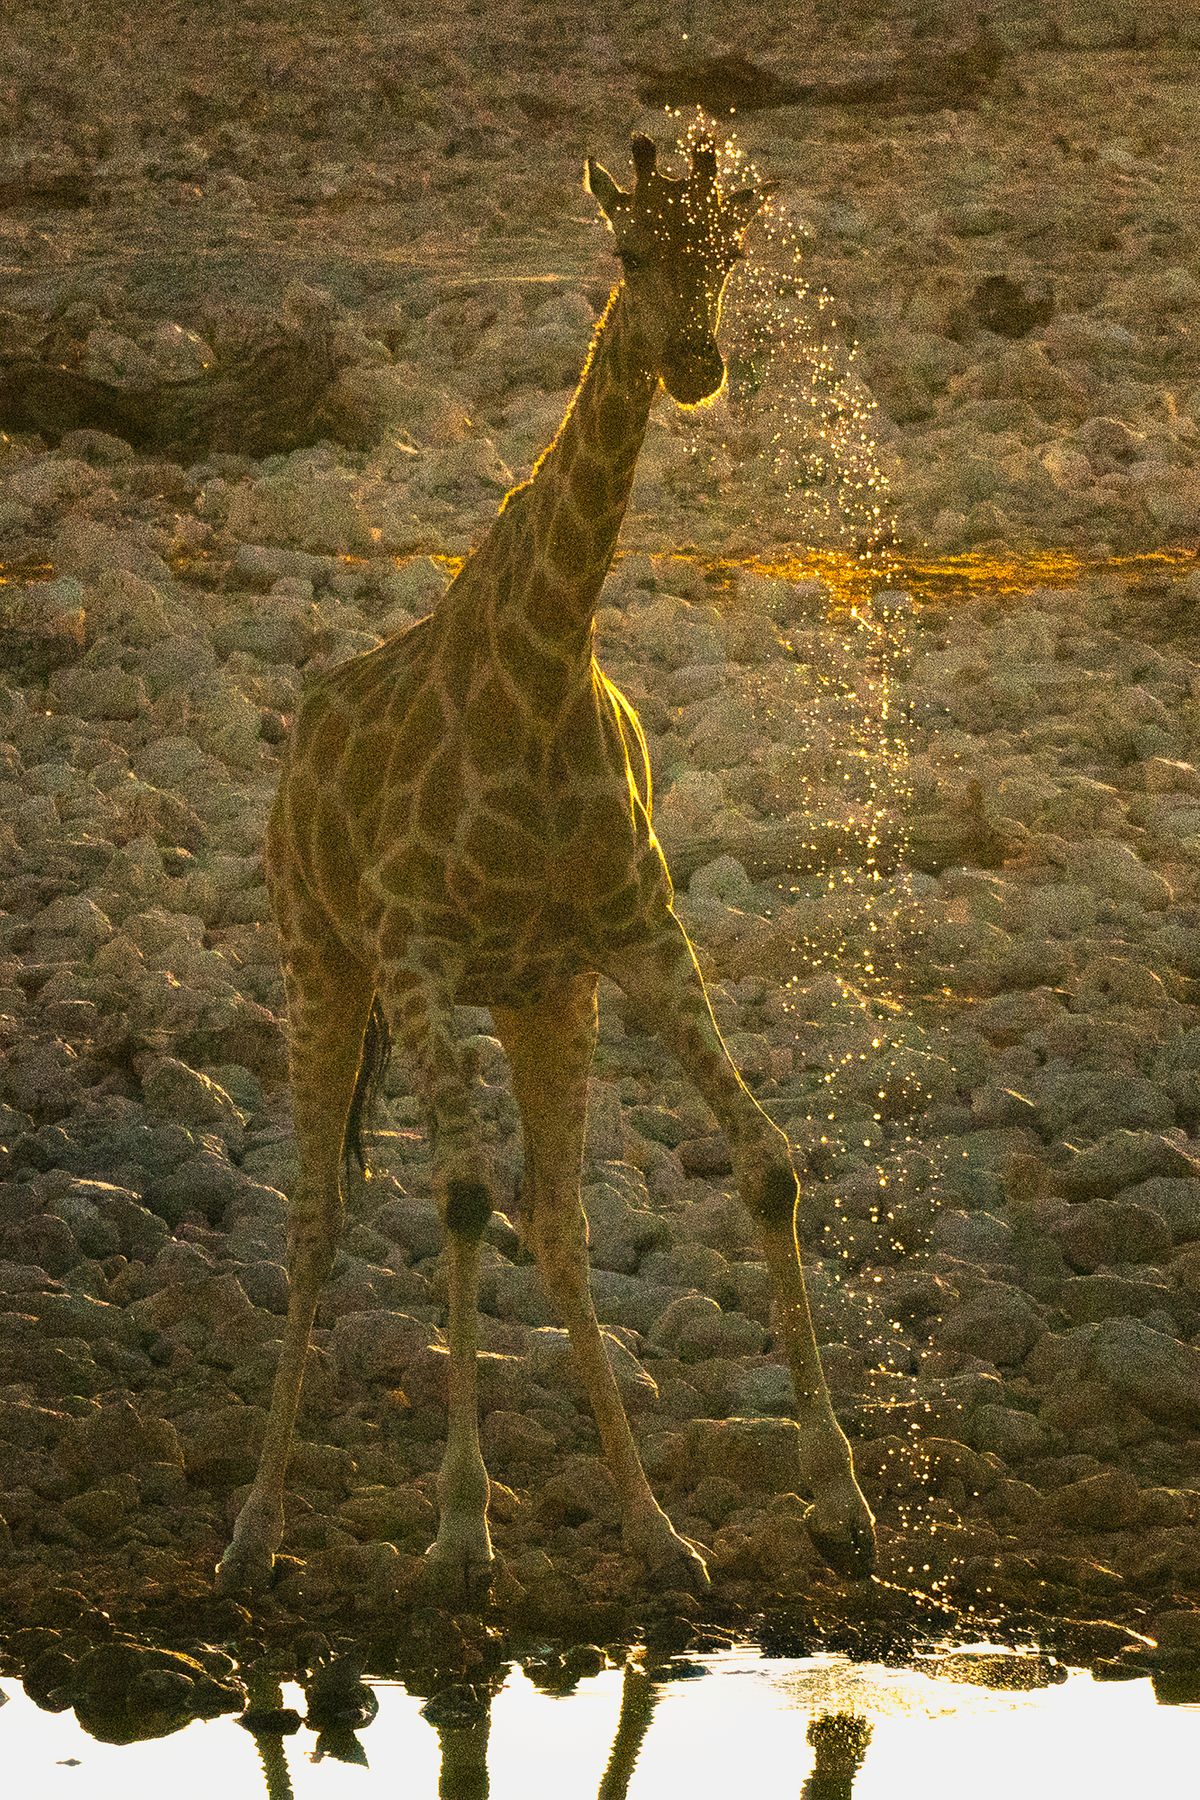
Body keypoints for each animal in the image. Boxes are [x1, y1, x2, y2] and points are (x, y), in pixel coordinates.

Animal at [213, 136, 874, 1605]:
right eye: (628, 253)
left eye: (729, 255)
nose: (695, 359)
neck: (546, 657)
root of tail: (292, 759)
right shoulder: (415, 949)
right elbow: (456, 1199)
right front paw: (461, 1537)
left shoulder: (635, 932)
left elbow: (769, 1165)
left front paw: (841, 1505)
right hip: (320, 958)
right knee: (316, 1219)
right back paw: (252, 1532)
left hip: (540, 999)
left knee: (561, 1225)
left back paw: (655, 1530)